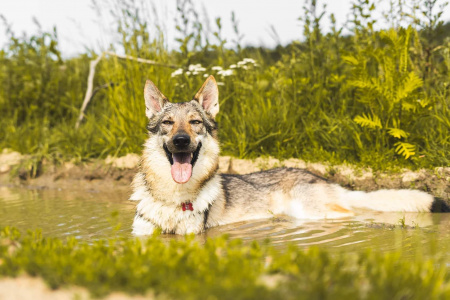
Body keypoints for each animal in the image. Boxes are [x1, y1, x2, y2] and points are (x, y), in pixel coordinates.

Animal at [130, 76, 446, 236]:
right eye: (168, 123)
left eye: (195, 123)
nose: (181, 141)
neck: (173, 197)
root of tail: (318, 177)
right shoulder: (141, 235)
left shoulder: (192, 235)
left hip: (312, 211)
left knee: (353, 212)